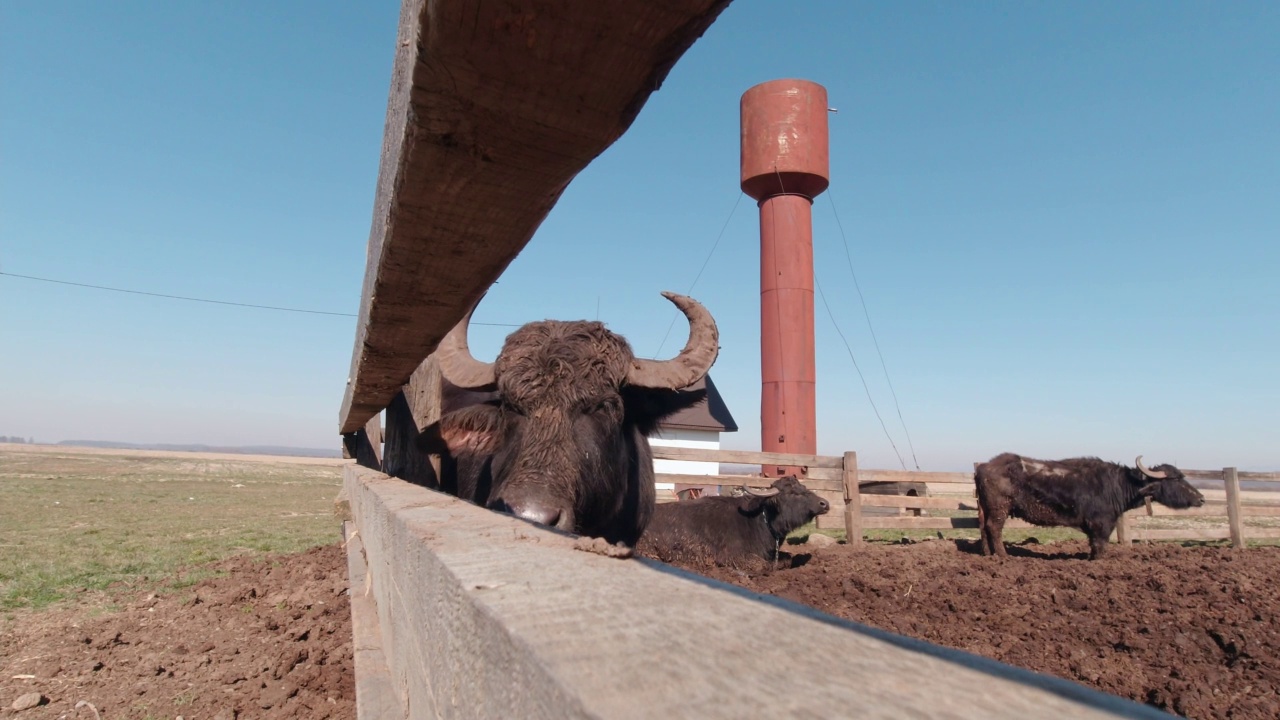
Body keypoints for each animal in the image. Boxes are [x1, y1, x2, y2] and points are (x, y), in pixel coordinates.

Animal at [637, 474, 829, 568]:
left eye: (804, 488)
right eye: (794, 493)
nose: (824, 503)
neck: (759, 520)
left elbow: (787, 557)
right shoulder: (733, 557)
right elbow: (761, 565)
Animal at [972, 450, 1203, 558]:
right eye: (1175, 480)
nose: (1201, 498)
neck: (1118, 485)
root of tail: (983, 467)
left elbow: (1093, 545)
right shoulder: (1102, 524)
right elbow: (1100, 546)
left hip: (985, 508)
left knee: (983, 528)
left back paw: (988, 554)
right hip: (1000, 507)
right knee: (994, 528)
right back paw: (1004, 555)